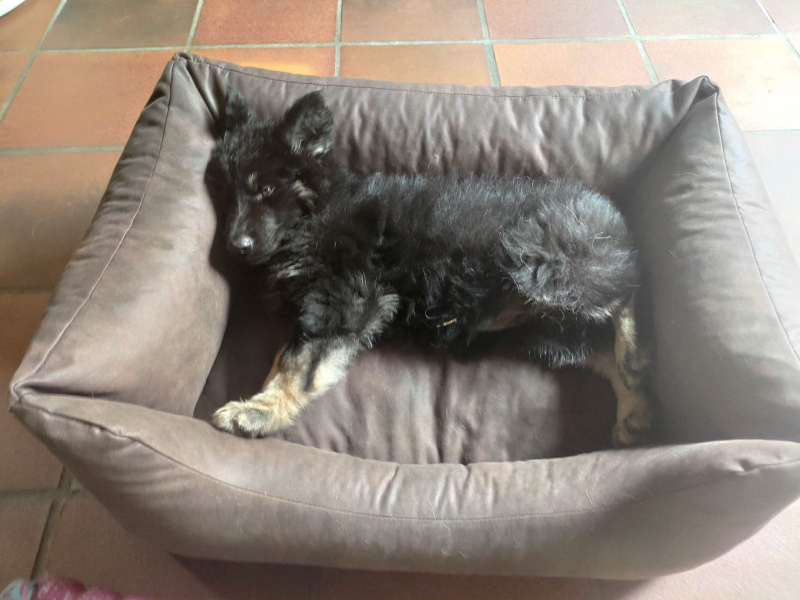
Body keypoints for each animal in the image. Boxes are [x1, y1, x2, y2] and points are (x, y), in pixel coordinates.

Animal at [209, 88, 653, 448]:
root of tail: (615, 217)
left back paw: (636, 350)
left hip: (538, 263)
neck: (320, 209)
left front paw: (258, 411)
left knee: (625, 291)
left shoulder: (345, 299)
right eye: (226, 195)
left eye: (267, 189)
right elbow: (293, 356)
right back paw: (635, 408)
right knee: (601, 344)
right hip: (548, 333)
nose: (235, 246)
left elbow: (294, 362)